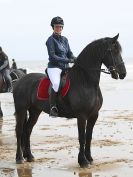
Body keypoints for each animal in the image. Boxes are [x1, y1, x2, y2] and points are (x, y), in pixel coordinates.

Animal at [13, 34, 127, 167]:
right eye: (113, 51)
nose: (123, 73)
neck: (86, 81)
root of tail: (20, 80)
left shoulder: (94, 115)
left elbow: (89, 136)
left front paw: (89, 158)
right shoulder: (82, 116)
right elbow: (82, 137)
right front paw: (83, 161)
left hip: (35, 111)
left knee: (28, 129)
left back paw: (29, 156)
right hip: (21, 110)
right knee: (19, 131)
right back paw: (19, 158)